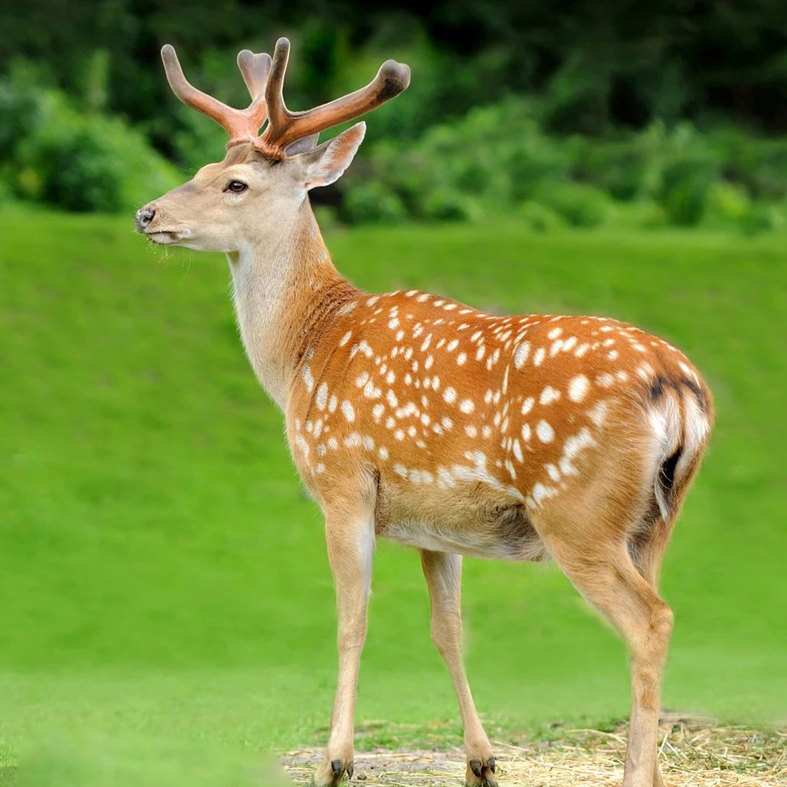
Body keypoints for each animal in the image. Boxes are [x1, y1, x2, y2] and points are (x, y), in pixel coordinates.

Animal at [135, 37, 716, 787]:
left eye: (235, 184)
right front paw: (480, 759)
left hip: (576, 508)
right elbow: (448, 630)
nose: (148, 214)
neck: (305, 349)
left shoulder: (343, 480)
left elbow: (350, 621)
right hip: (654, 519)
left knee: (651, 621)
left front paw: (336, 759)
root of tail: (679, 387)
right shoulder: (436, 523)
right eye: (202, 169)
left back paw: (632, 772)